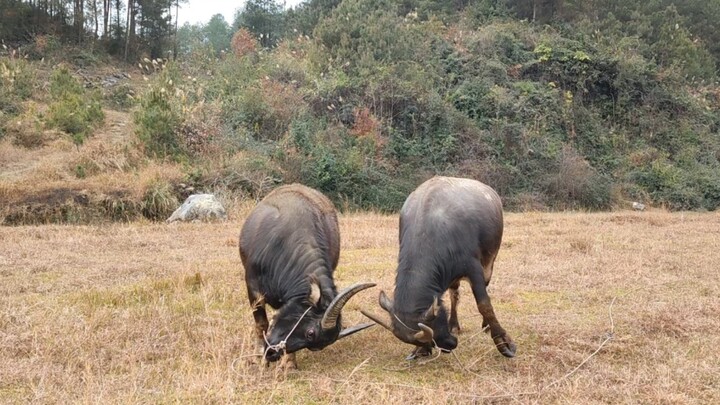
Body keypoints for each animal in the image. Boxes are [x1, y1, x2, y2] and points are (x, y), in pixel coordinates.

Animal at [242, 185, 376, 368]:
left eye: (311, 341)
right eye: (311, 333)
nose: (271, 354)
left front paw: (289, 363)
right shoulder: (253, 289)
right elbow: (261, 323)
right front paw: (257, 358)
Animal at [362, 175, 516, 358]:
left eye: (433, 327)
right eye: (427, 340)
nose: (449, 346)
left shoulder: (474, 268)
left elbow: (484, 304)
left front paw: (503, 342)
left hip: (489, 261)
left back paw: (486, 325)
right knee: (454, 294)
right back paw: (454, 324)